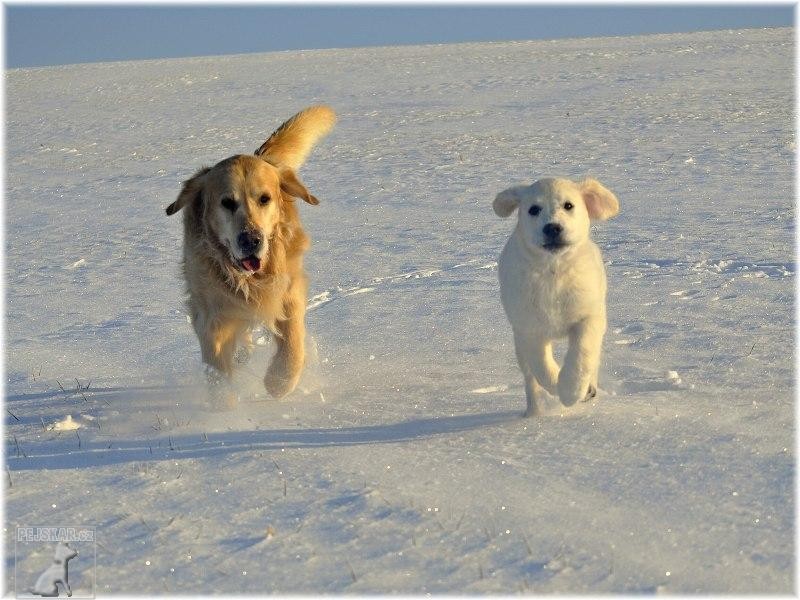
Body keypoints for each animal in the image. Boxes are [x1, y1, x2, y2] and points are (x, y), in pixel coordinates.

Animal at [494, 176, 620, 414]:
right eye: (534, 209)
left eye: (568, 205)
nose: (552, 227)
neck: (554, 271)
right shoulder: (529, 328)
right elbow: (542, 367)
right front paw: (558, 386)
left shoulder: (589, 315)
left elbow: (582, 353)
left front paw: (572, 390)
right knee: (530, 379)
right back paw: (534, 412)